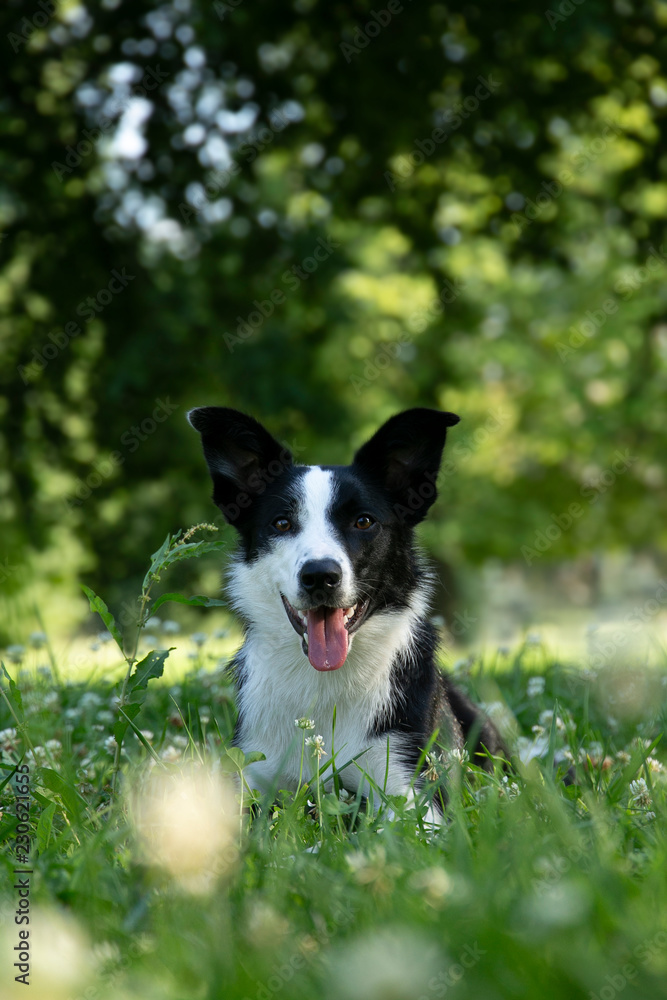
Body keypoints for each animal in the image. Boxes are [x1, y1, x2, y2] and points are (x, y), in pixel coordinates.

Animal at [188, 406, 506, 812]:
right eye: (282, 523)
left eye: (363, 521)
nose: (320, 576)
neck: (323, 684)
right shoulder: (255, 777)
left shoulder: (410, 790)